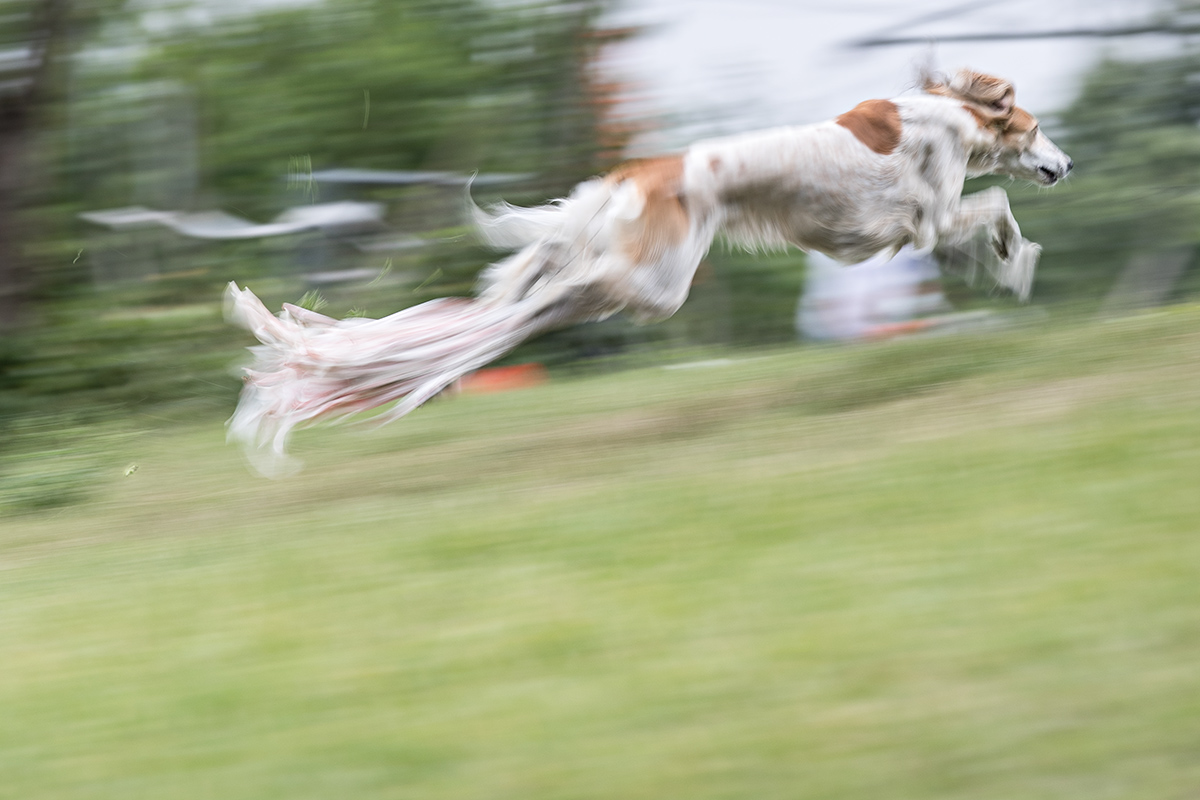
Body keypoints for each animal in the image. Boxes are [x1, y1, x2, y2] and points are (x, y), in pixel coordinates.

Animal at [225, 68, 1070, 472]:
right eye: (1037, 128)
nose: (1064, 164)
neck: (951, 113)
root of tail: (631, 175)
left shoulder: (910, 230)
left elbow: (980, 227)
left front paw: (1003, 269)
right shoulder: (928, 212)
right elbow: (996, 206)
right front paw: (1018, 262)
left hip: (606, 274)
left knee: (509, 306)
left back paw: (326, 356)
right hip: (650, 284)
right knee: (524, 309)